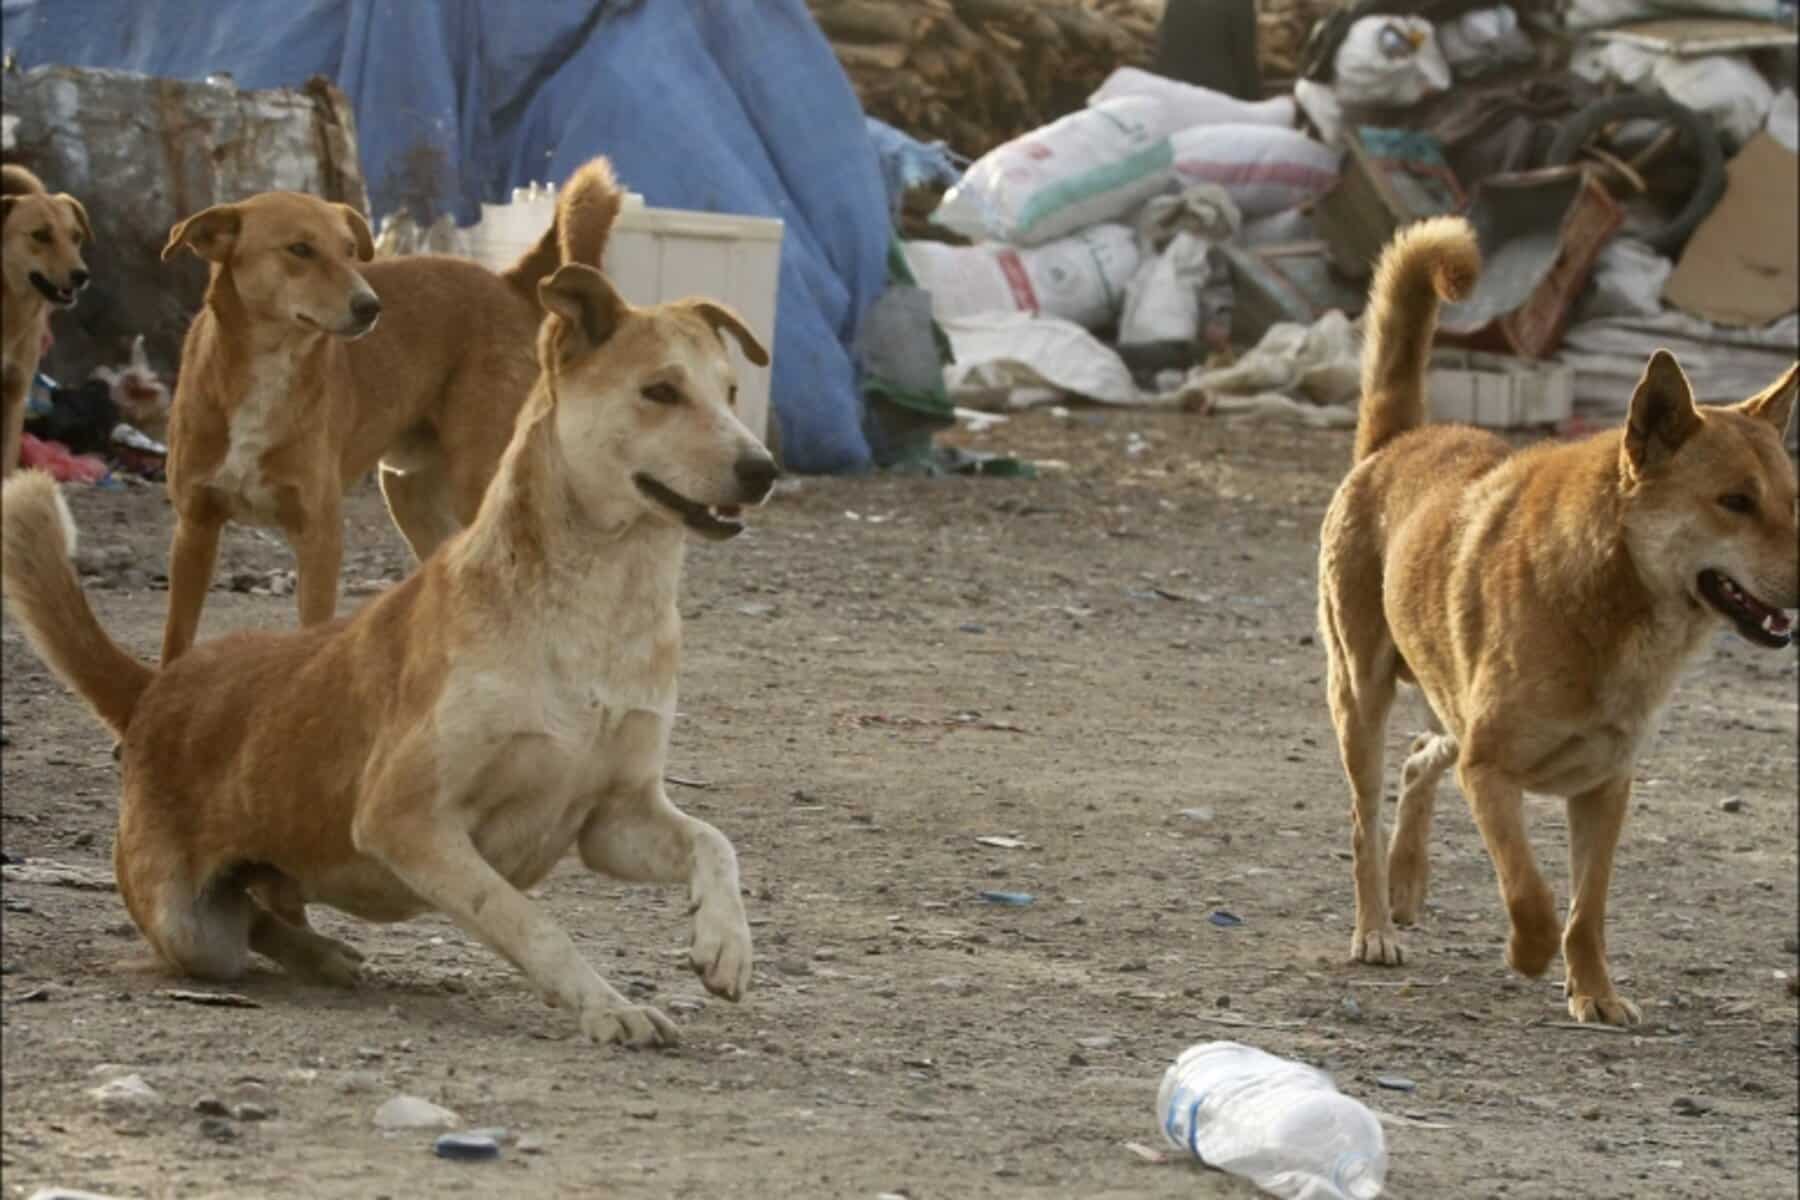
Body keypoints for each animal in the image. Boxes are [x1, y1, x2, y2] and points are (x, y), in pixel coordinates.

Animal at [3, 260, 784, 1043]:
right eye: (660, 391)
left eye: (731, 392)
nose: (764, 469)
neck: (602, 610)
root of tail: (158, 689)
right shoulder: (404, 818)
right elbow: (530, 921)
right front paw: (607, 1006)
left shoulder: (613, 820)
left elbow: (714, 841)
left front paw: (726, 944)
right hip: (190, 927)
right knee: (243, 926)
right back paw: (316, 953)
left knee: (264, 911)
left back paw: (322, 954)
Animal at [162, 157, 626, 665]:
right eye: (300, 249)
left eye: (349, 250)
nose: (370, 306)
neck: (268, 368)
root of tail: (506, 280)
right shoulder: (194, 529)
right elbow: (175, 642)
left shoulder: (320, 536)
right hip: (410, 494)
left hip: (477, 482)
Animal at [1317, 213, 1792, 1021]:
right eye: (1735, 501)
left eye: (1793, 502)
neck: (1614, 600)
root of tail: (1396, 442)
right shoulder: (1490, 772)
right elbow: (1532, 898)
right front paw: (1526, 955)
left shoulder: (1605, 789)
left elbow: (1586, 910)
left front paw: (1595, 993)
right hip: (1361, 696)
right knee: (1363, 819)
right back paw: (1376, 925)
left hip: (1447, 703)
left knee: (1419, 754)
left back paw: (1407, 881)